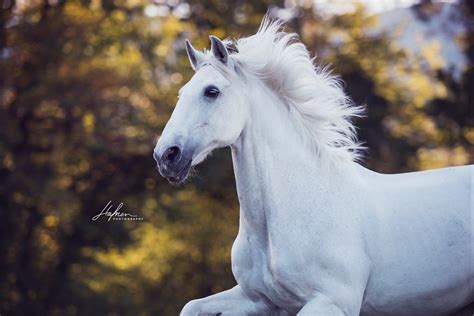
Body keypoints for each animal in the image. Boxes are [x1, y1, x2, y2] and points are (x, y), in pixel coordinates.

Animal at [154, 17, 472, 316]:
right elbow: (190, 306)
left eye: (212, 91)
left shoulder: (331, 302)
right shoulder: (259, 299)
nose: (165, 156)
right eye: (182, 93)